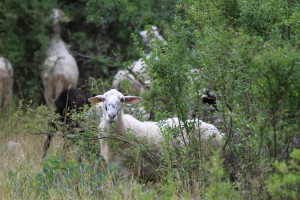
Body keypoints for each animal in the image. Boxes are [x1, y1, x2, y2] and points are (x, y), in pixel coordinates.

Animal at [88, 89, 221, 181]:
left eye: (122, 100)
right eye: (103, 99)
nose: (111, 116)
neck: (124, 127)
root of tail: (218, 132)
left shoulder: (131, 169)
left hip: (208, 162)